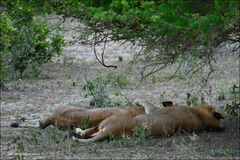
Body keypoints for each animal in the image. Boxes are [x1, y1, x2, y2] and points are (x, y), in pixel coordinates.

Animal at [76, 104, 225, 142]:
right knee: (92, 132)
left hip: (110, 119)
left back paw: (78, 132)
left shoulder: (154, 110)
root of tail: (109, 131)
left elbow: (147, 104)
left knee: (91, 130)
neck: (199, 117)